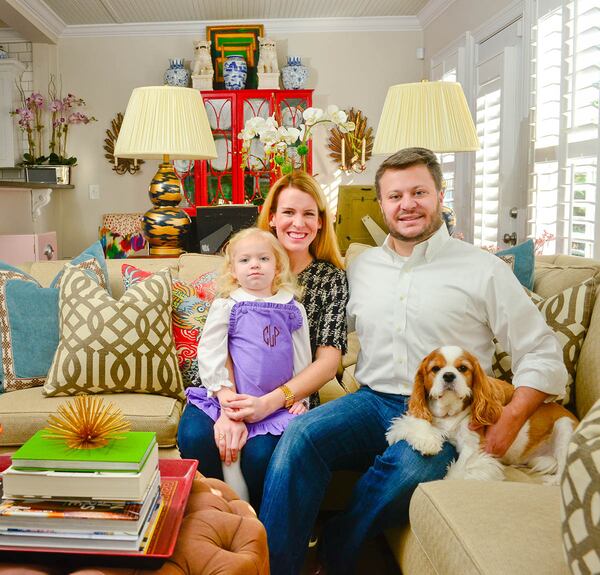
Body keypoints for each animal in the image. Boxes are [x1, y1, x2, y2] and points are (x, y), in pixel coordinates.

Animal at [386, 344, 580, 484]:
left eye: (463, 368)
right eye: (435, 369)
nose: (448, 375)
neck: (450, 410)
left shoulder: (474, 446)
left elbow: (461, 469)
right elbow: (419, 425)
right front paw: (427, 442)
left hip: (564, 428)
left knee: (563, 470)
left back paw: (551, 481)